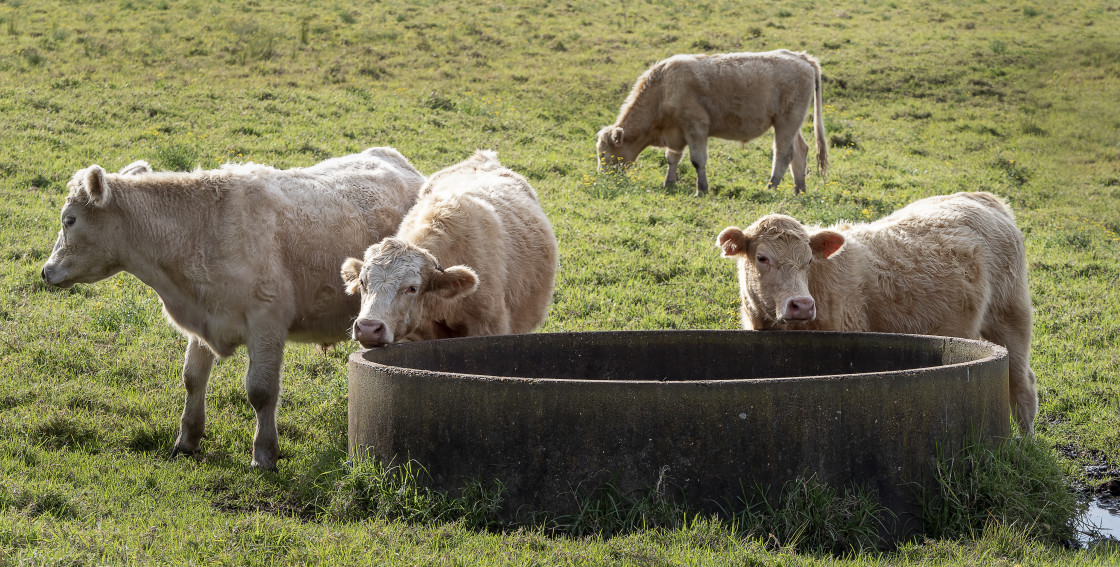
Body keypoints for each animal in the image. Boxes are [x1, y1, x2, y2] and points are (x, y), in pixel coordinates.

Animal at [41, 146, 425, 470]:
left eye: (69, 219)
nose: (46, 271)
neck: (199, 230)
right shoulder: (203, 317)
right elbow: (192, 378)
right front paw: (187, 440)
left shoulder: (266, 324)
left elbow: (260, 390)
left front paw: (264, 455)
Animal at [600, 50, 828, 197]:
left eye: (605, 154)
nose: (604, 179)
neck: (663, 88)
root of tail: (801, 57)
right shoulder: (677, 132)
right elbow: (672, 158)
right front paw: (669, 183)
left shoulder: (696, 127)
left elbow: (697, 160)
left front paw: (701, 189)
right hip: (790, 123)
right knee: (800, 150)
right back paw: (799, 189)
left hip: (786, 121)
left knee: (783, 153)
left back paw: (770, 187)